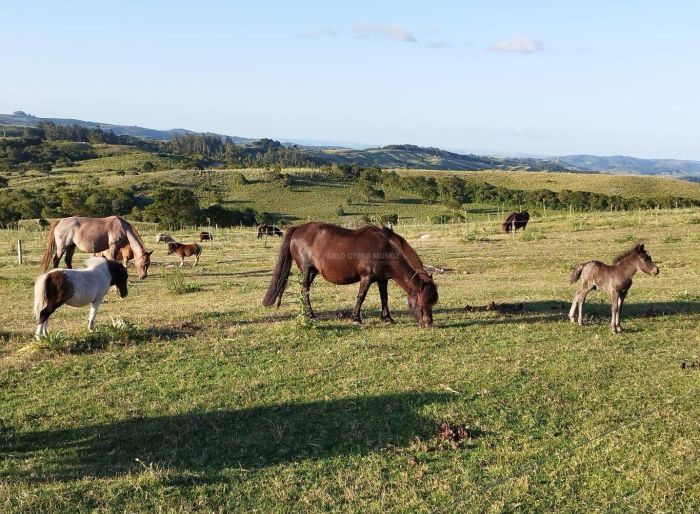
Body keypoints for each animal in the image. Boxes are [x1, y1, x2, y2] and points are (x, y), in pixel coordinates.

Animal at [262, 220, 438, 324]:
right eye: (422, 302)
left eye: (432, 302)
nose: (428, 323)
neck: (386, 250)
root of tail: (298, 228)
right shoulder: (366, 278)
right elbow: (361, 297)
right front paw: (356, 318)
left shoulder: (382, 279)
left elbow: (384, 298)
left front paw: (387, 318)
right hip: (306, 269)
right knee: (305, 290)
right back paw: (311, 315)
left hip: (312, 271)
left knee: (304, 290)